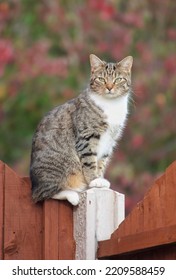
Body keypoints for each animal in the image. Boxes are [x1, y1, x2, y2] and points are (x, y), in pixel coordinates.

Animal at [29, 54, 132, 206]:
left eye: (118, 79)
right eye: (101, 79)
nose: (109, 87)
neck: (111, 104)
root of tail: (33, 185)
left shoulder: (110, 140)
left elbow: (101, 162)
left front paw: (99, 178)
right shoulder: (87, 135)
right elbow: (90, 161)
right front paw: (94, 180)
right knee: (42, 195)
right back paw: (71, 195)